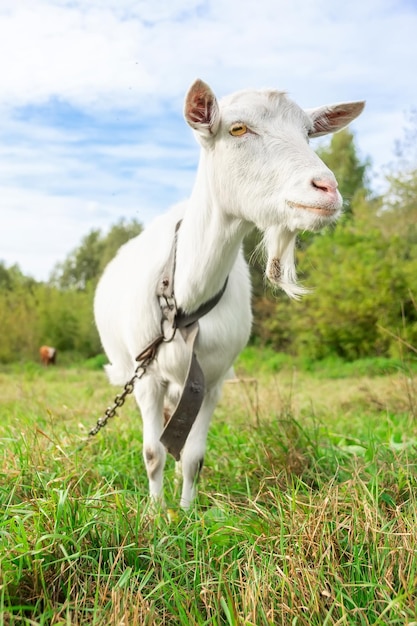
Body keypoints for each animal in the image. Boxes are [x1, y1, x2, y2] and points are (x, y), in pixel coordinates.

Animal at [94, 79, 364, 508]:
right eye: (237, 129)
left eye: (308, 133)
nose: (327, 188)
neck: (185, 298)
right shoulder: (146, 375)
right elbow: (152, 452)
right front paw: (154, 513)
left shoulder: (213, 379)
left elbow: (193, 456)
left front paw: (187, 513)